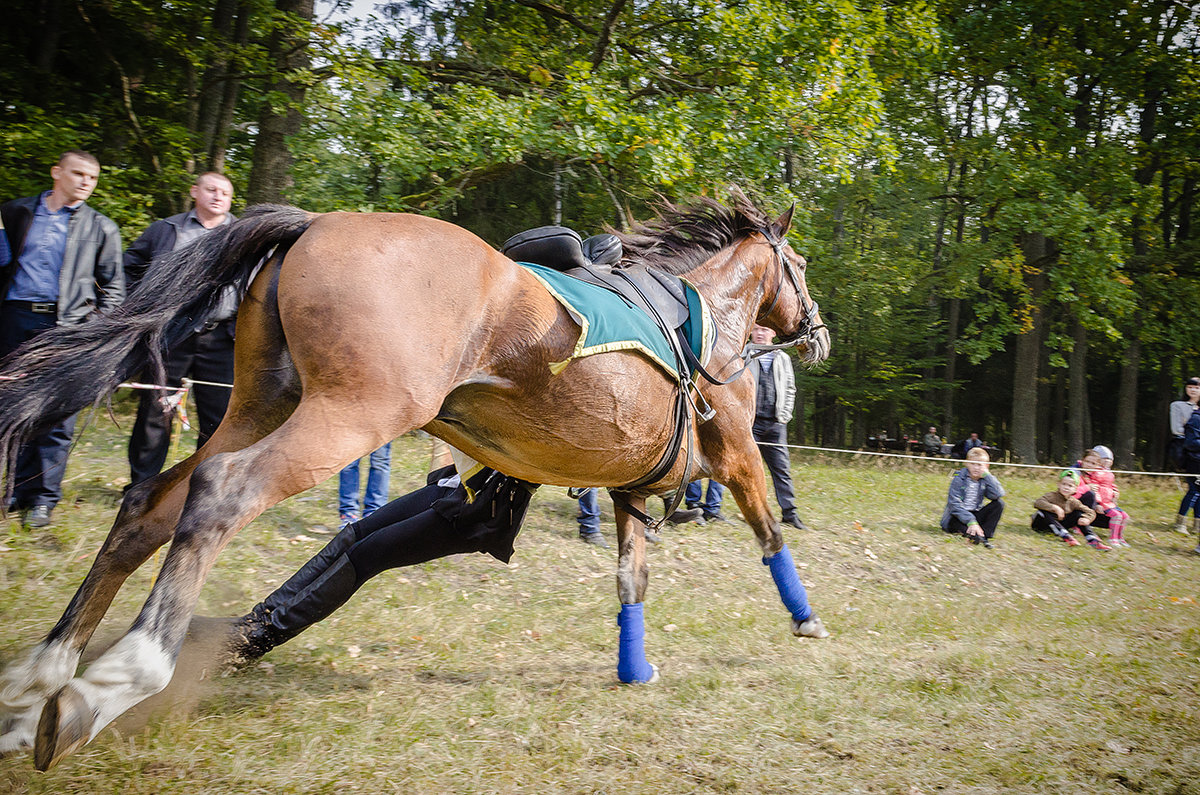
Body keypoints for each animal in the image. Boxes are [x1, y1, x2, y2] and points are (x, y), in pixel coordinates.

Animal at [0, 189, 825, 768]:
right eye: (802, 268)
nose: (816, 333)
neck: (711, 317)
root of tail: (315, 223)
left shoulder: (633, 486)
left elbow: (631, 576)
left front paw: (635, 665)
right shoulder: (733, 454)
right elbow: (767, 528)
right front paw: (805, 619)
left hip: (263, 403)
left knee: (152, 505)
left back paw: (41, 679)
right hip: (350, 413)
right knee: (221, 495)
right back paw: (119, 678)